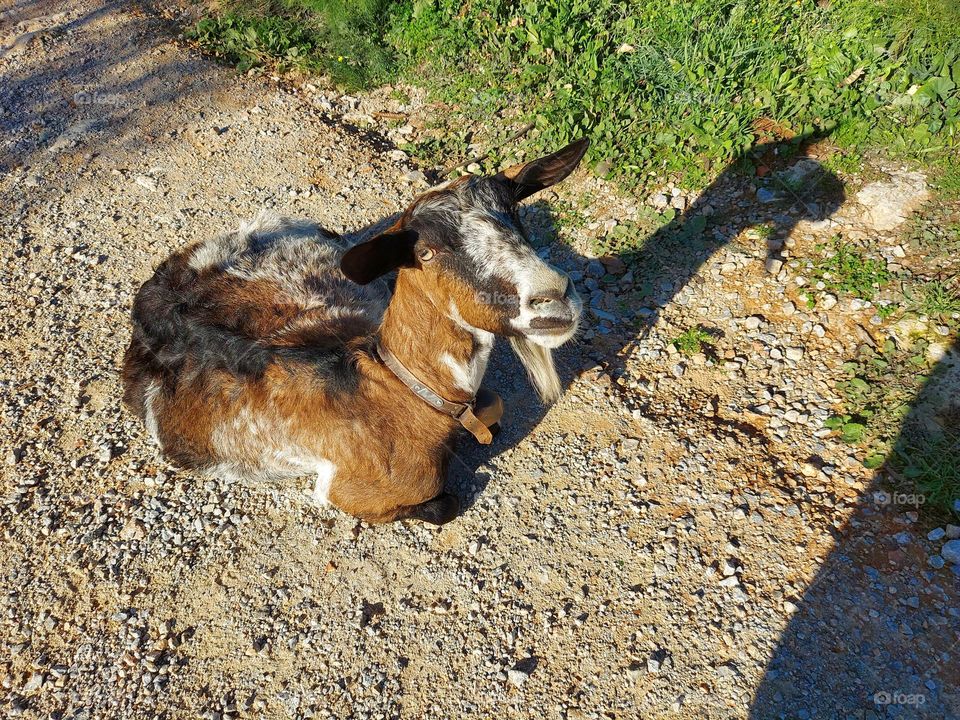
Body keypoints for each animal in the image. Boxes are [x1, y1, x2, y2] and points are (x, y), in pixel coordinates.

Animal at [120, 138, 584, 524]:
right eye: (426, 253)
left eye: (515, 215)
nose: (554, 296)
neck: (402, 391)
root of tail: (157, 288)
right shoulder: (350, 491)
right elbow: (444, 505)